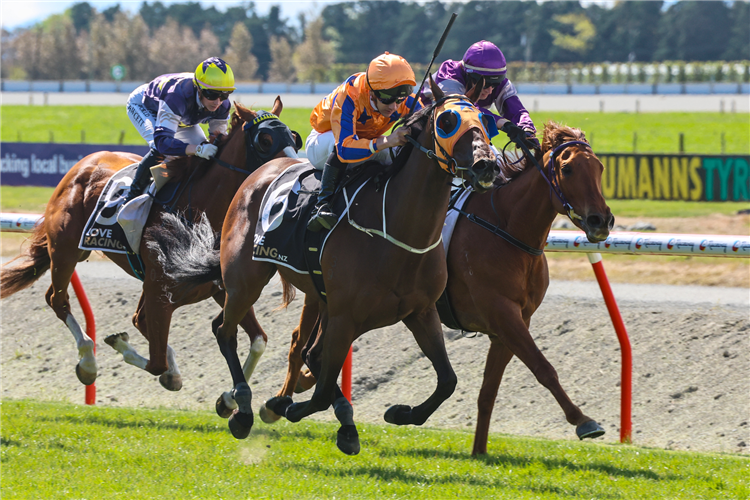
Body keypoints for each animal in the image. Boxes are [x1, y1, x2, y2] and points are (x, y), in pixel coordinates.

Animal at [0, 98, 300, 390]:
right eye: (265, 139)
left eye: (293, 137)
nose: (294, 173)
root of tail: (83, 163)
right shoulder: (160, 292)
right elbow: (155, 361)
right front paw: (124, 348)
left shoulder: (223, 290)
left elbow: (259, 340)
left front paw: (228, 397)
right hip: (65, 250)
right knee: (59, 300)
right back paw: (88, 362)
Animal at [150, 80, 502, 456]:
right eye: (447, 121)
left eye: (484, 118)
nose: (487, 165)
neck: (397, 229)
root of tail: (259, 173)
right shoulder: (346, 315)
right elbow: (318, 391)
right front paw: (288, 407)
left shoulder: (419, 312)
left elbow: (447, 380)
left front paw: (398, 413)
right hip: (246, 279)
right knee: (226, 331)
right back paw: (243, 409)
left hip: (318, 299)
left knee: (301, 350)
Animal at [270, 120, 616, 454]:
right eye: (567, 169)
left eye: (600, 167)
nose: (601, 220)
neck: (506, 229)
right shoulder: (503, 315)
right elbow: (543, 367)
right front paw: (583, 420)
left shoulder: (514, 322)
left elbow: (488, 390)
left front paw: (478, 449)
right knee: (306, 347)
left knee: (312, 351)